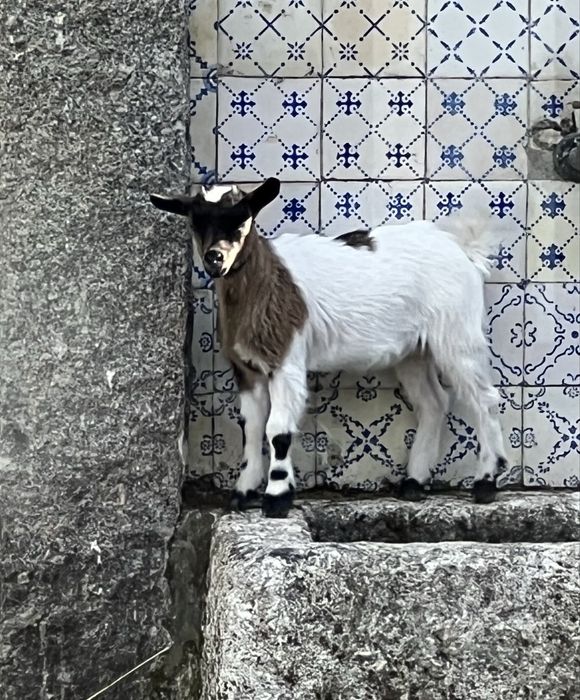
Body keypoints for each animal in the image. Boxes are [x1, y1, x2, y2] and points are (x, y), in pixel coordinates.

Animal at [150, 178, 508, 518]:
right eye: (196, 220)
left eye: (243, 217)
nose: (216, 259)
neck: (266, 281)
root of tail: (463, 249)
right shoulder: (247, 368)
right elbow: (251, 428)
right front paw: (243, 492)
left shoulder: (286, 360)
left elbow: (277, 430)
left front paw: (276, 498)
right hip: (413, 351)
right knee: (433, 402)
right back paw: (414, 483)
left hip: (457, 331)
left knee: (484, 399)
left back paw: (486, 481)